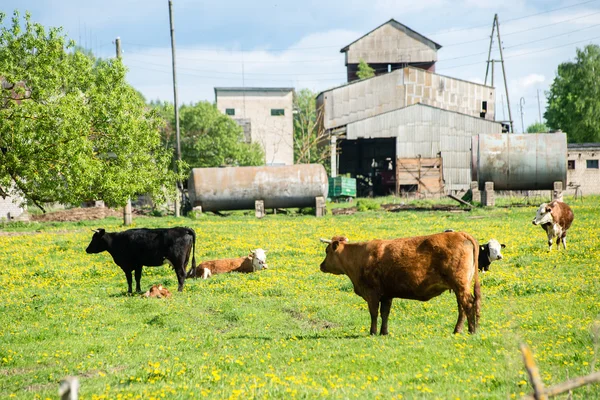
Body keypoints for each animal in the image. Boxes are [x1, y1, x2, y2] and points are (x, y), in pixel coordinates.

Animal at [322, 233, 480, 336]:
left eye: (327, 251)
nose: (321, 265)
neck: (360, 256)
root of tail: (461, 234)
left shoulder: (372, 293)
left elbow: (374, 313)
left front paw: (373, 332)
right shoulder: (387, 294)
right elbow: (385, 313)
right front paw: (384, 332)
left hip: (460, 285)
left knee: (468, 304)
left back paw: (472, 330)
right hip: (459, 287)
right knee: (462, 307)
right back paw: (458, 330)